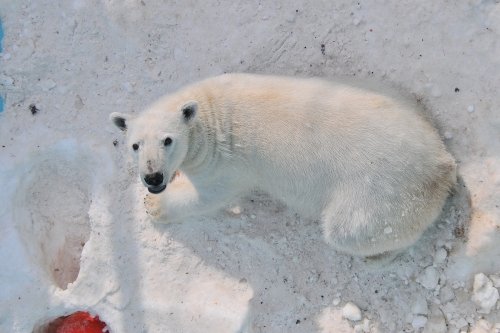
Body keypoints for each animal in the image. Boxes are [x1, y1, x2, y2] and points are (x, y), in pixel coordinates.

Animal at [110, 73, 458, 260]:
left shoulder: (226, 162)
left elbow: (208, 195)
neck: (210, 112)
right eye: (135, 145)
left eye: (167, 140)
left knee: (349, 230)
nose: (153, 177)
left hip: (378, 194)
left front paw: (154, 206)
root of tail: (441, 167)